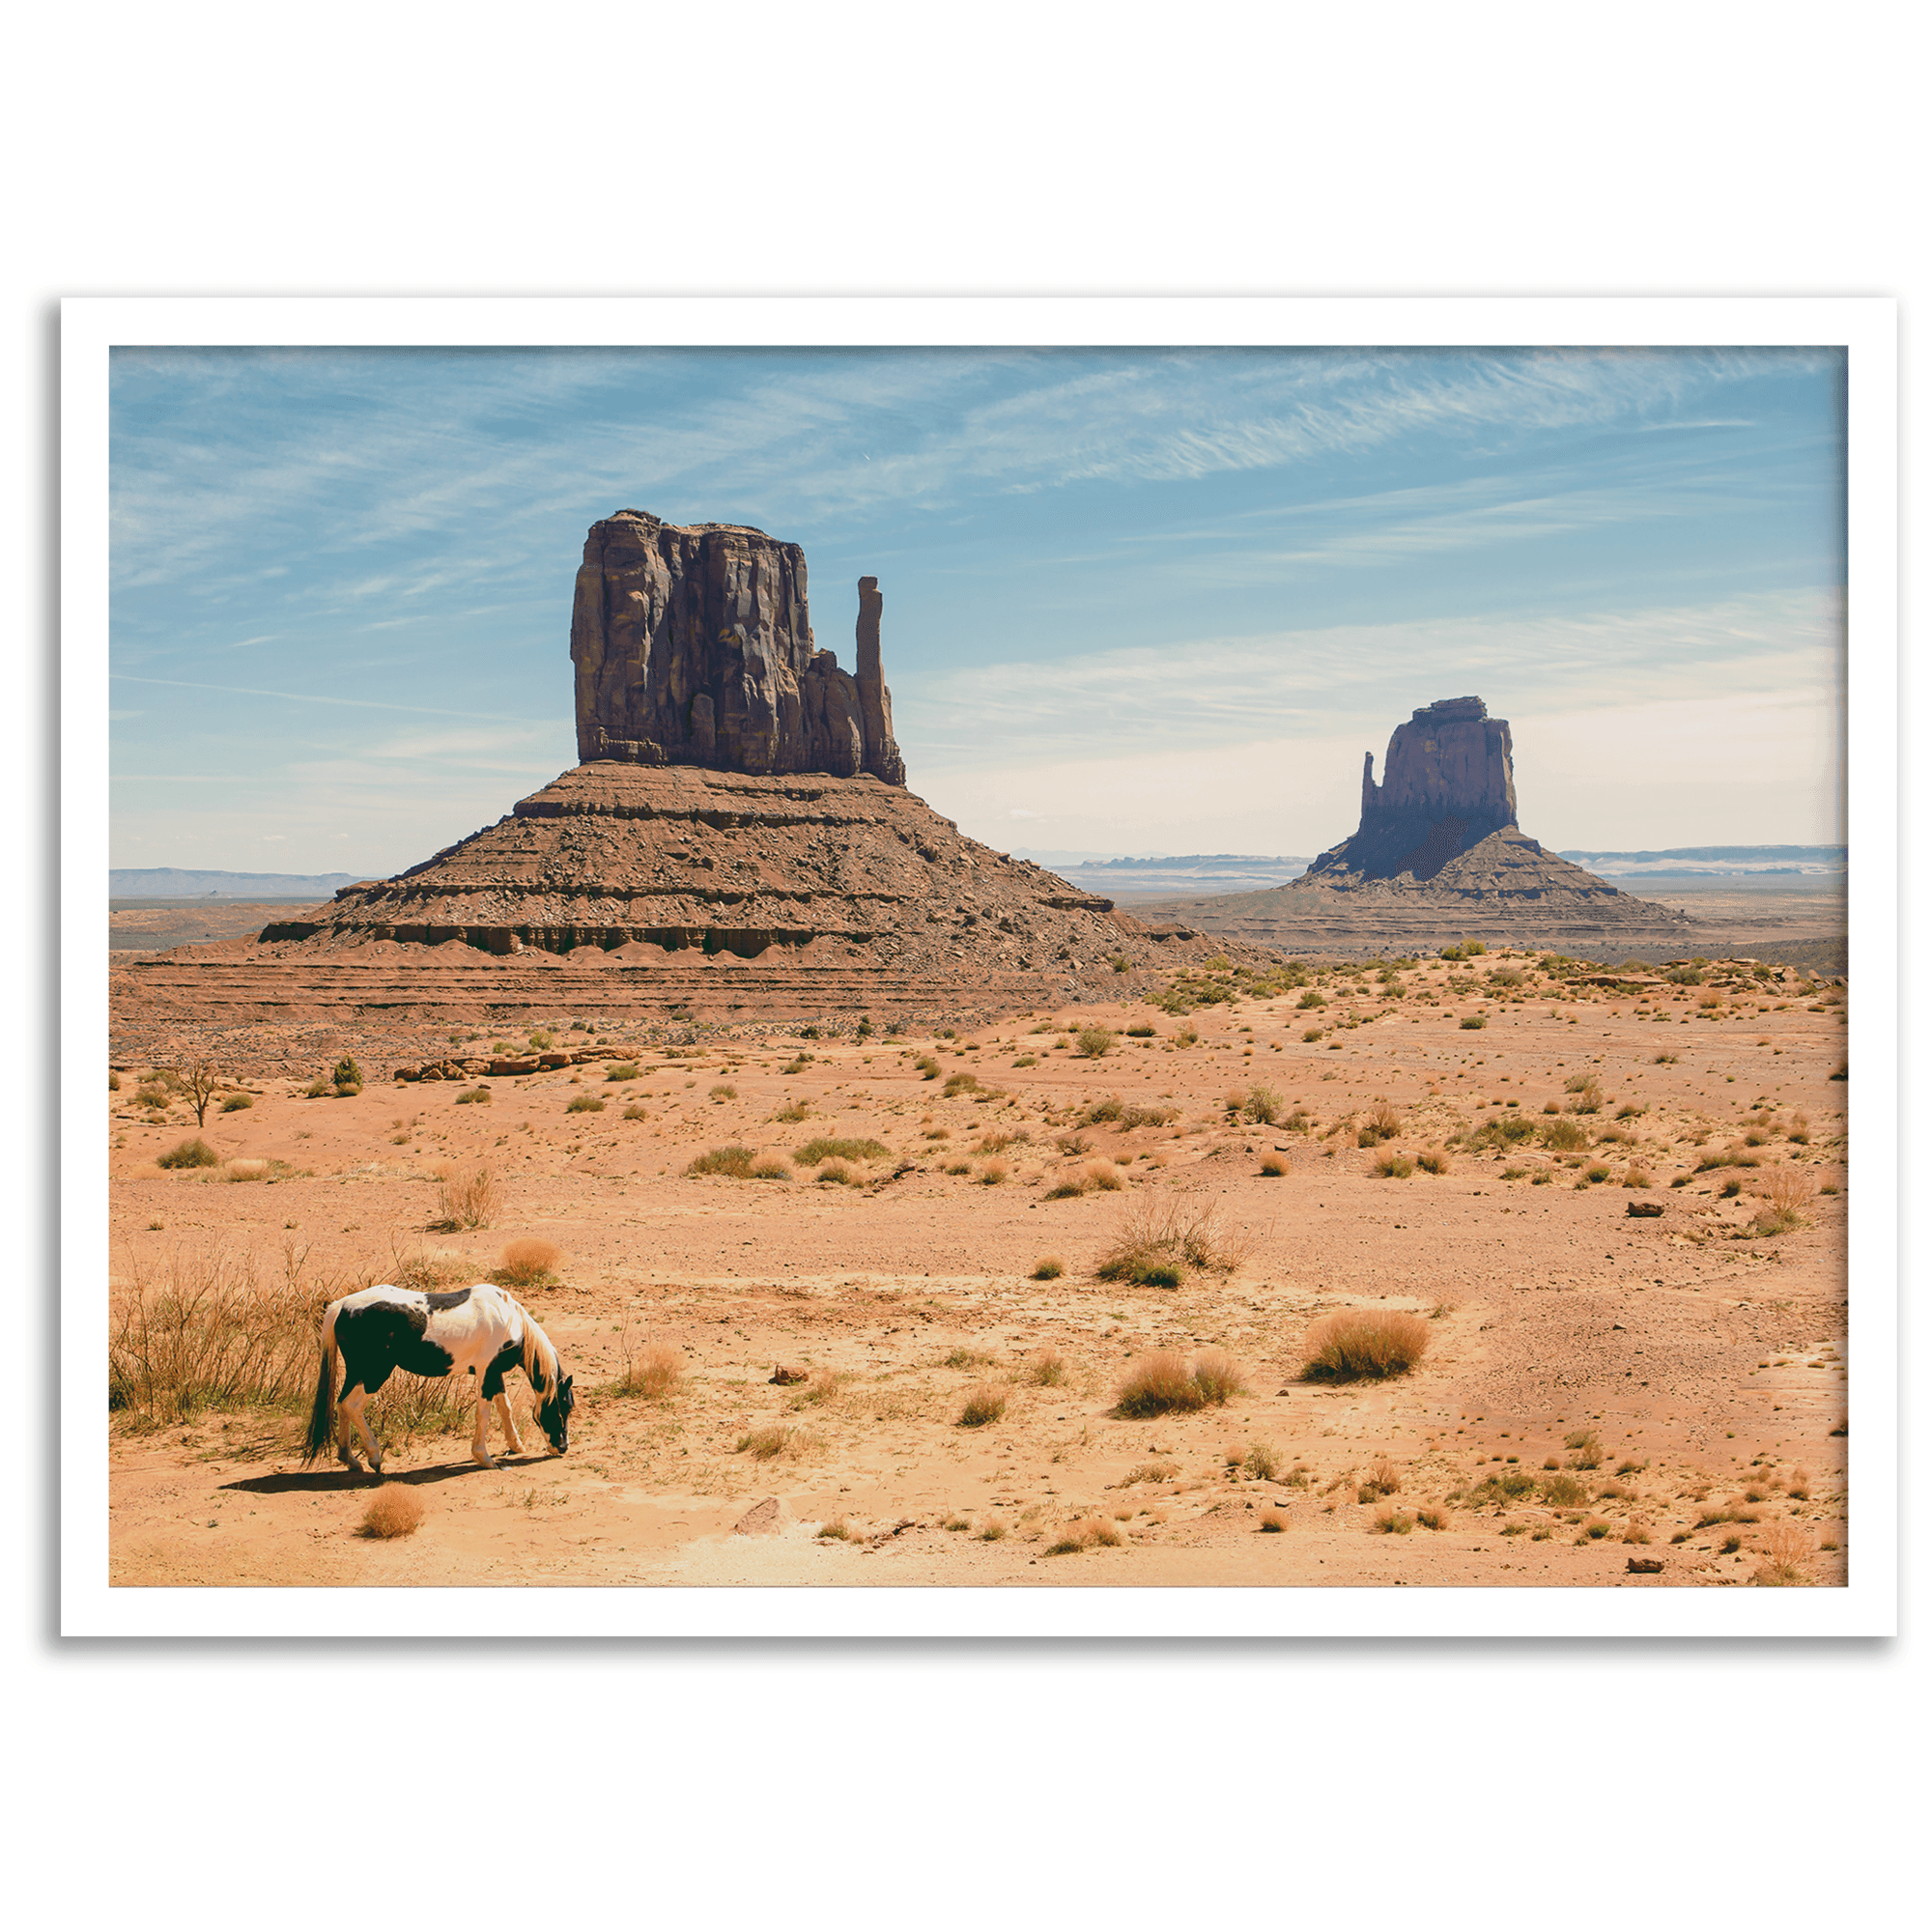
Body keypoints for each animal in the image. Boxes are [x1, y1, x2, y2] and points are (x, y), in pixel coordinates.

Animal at [301, 1283, 572, 1476]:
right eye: (564, 1407)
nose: (562, 1447)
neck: (508, 1318)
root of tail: (342, 1305)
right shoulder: (486, 1372)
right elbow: (484, 1413)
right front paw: (484, 1458)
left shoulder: (493, 1374)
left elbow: (504, 1408)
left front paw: (515, 1445)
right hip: (374, 1374)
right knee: (352, 1406)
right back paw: (374, 1457)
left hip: (357, 1372)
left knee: (341, 1405)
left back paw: (349, 1459)